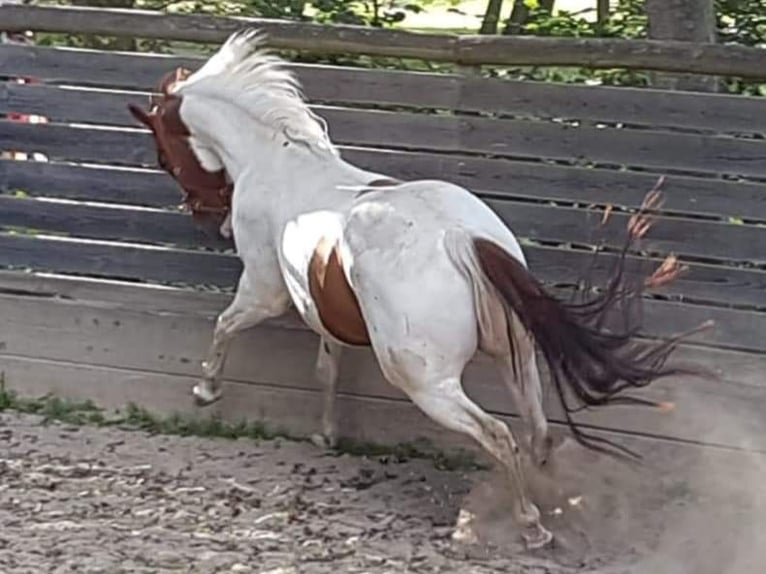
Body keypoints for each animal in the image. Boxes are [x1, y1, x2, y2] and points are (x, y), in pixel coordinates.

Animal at [127, 29, 710, 548]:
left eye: (162, 155)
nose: (209, 220)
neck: (275, 160)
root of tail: (463, 238)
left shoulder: (265, 289)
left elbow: (225, 326)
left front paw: (205, 392)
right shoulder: (322, 311)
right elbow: (326, 369)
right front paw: (325, 433)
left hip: (426, 381)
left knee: (499, 435)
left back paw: (528, 526)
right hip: (516, 355)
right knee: (538, 429)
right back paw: (547, 505)